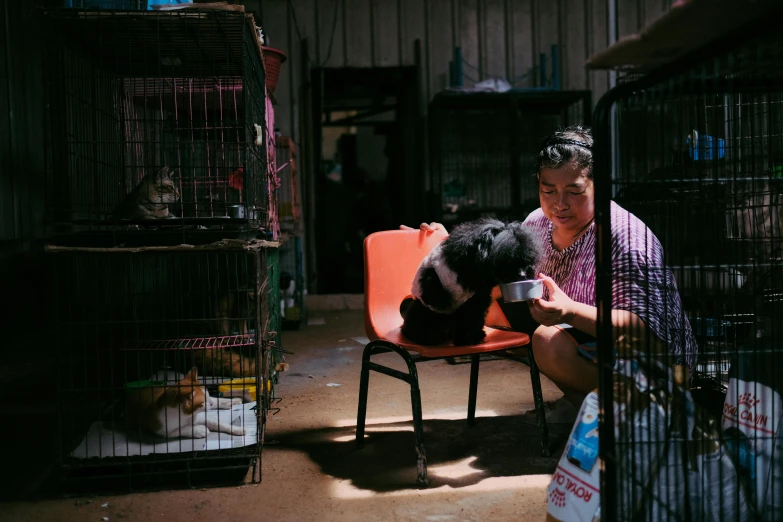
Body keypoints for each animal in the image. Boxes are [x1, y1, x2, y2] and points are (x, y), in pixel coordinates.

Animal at [402, 216, 544, 346]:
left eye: (526, 260)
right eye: (507, 259)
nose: (524, 274)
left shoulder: (476, 299)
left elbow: (472, 318)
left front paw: (472, 338)